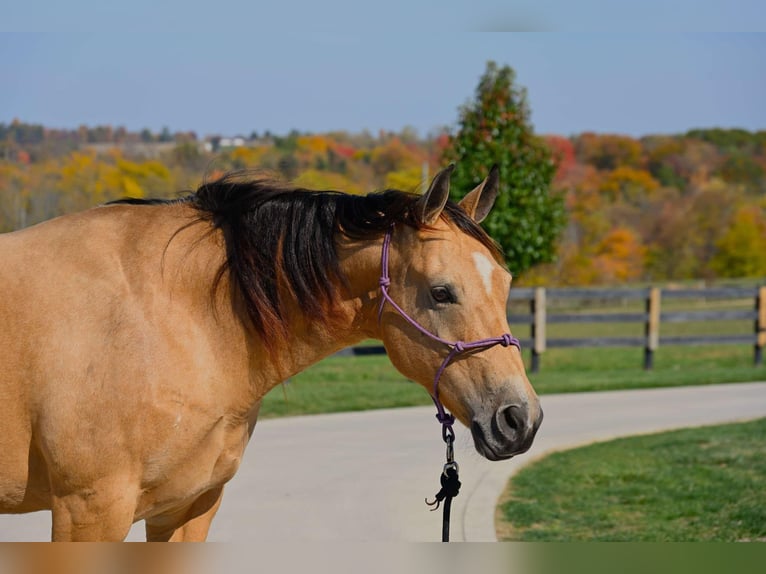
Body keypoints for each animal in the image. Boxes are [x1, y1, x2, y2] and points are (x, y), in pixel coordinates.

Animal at [0, 164, 544, 544]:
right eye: (441, 292)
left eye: (506, 284)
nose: (520, 418)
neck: (172, 315)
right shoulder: (89, 512)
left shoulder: (187, 508)